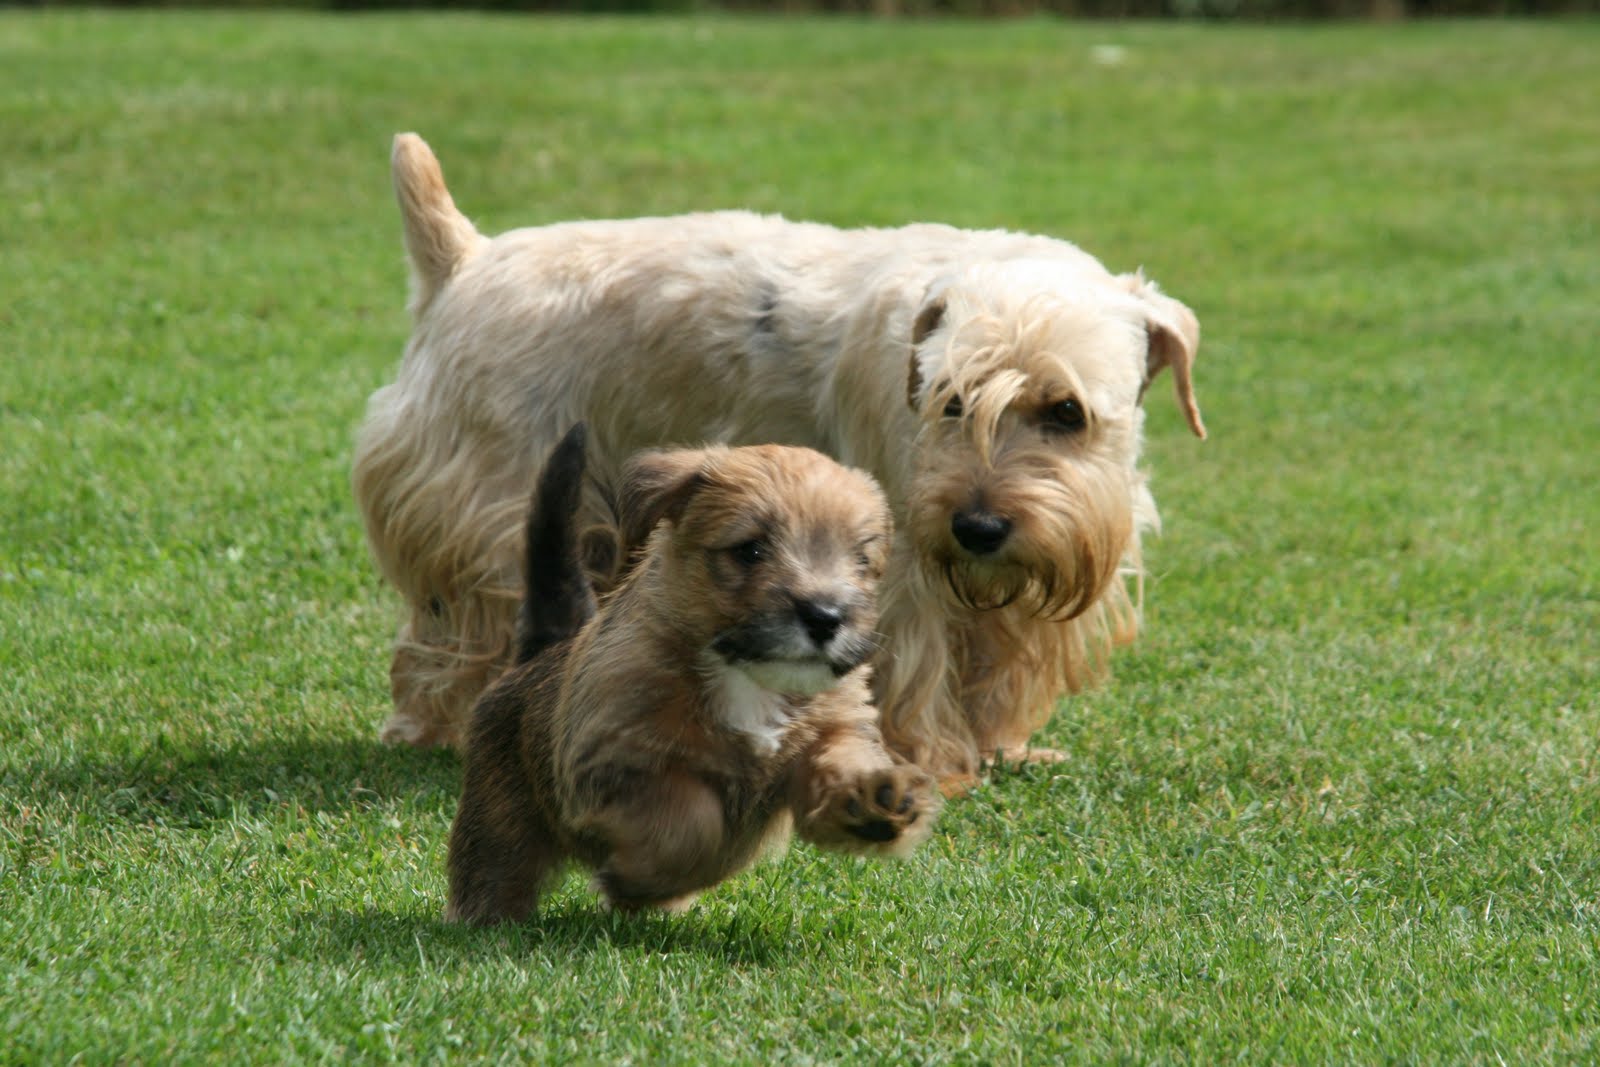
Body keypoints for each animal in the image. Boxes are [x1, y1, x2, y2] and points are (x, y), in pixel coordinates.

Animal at [353, 133, 1203, 790]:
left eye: (1068, 412)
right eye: (951, 400)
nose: (979, 526)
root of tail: (466, 259)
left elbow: (992, 667)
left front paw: (1003, 748)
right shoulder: (903, 567)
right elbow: (916, 669)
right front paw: (927, 763)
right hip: (497, 511)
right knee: (451, 633)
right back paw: (438, 725)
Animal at [444, 422, 934, 921]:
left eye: (861, 562)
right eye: (750, 550)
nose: (825, 616)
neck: (745, 678)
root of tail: (540, 653)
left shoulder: (830, 733)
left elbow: (838, 762)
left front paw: (874, 799)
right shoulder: (617, 761)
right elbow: (690, 819)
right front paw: (636, 876)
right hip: (499, 814)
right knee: (495, 866)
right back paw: (490, 919)